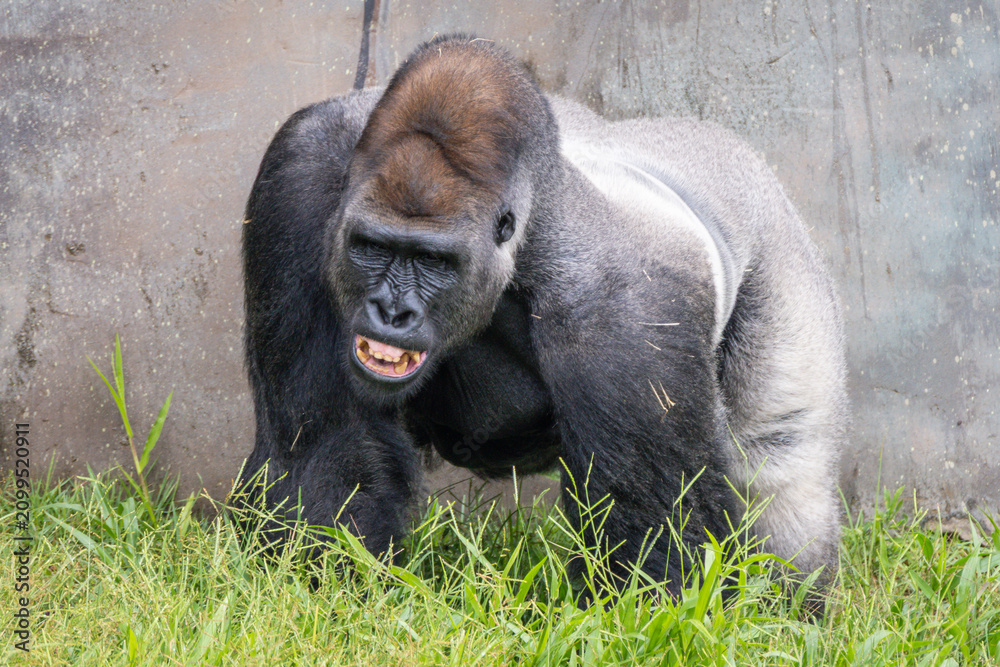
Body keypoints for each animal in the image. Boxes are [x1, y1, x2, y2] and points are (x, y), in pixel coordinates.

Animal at [235, 34, 847, 606]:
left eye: (434, 261)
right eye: (371, 247)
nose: (392, 311)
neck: (535, 214)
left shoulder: (623, 306)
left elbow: (656, 546)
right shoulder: (299, 178)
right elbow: (329, 448)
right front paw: (332, 592)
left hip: (782, 253)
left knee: (782, 467)